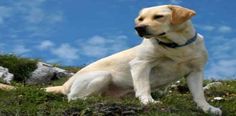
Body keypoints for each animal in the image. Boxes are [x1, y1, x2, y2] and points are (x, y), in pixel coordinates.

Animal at [45, 4, 221, 115]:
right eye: (141, 19)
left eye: (159, 16)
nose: (138, 28)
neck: (177, 46)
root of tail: (66, 83)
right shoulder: (141, 64)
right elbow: (144, 87)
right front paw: (149, 102)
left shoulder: (195, 72)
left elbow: (199, 95)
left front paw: (208, 108)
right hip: (103, 76)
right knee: (73, 97)